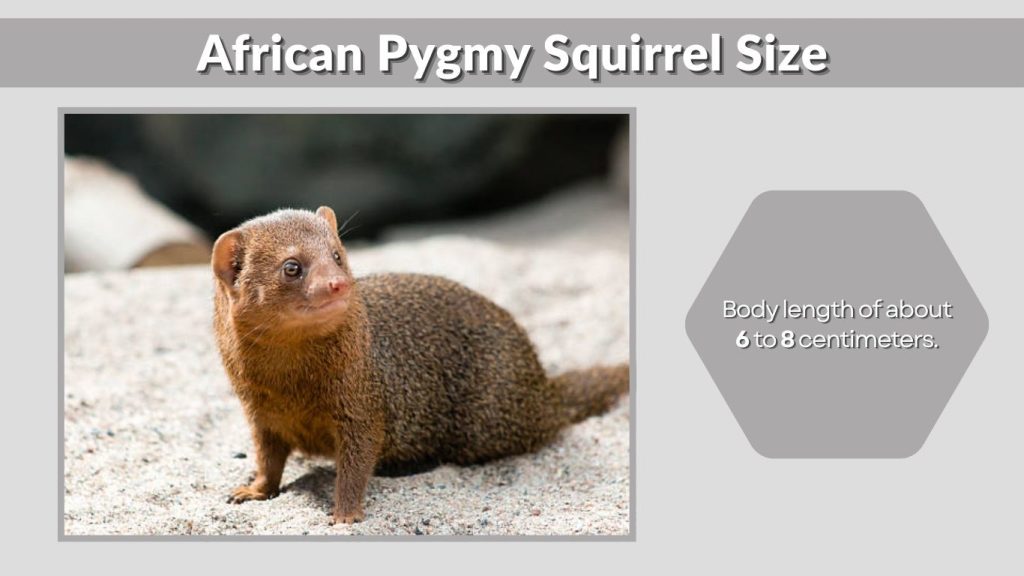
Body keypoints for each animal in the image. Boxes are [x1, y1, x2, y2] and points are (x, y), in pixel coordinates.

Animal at [212, 206, 629, 524]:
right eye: (292, 267)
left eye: (337, 255)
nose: (338, 284)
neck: (290, 385)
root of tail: (543, 384)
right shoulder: (258, 411)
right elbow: (267, 458)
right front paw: (252, 490)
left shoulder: (362, 400)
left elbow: (357, 461)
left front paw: (345, 514)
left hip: (489, 419)